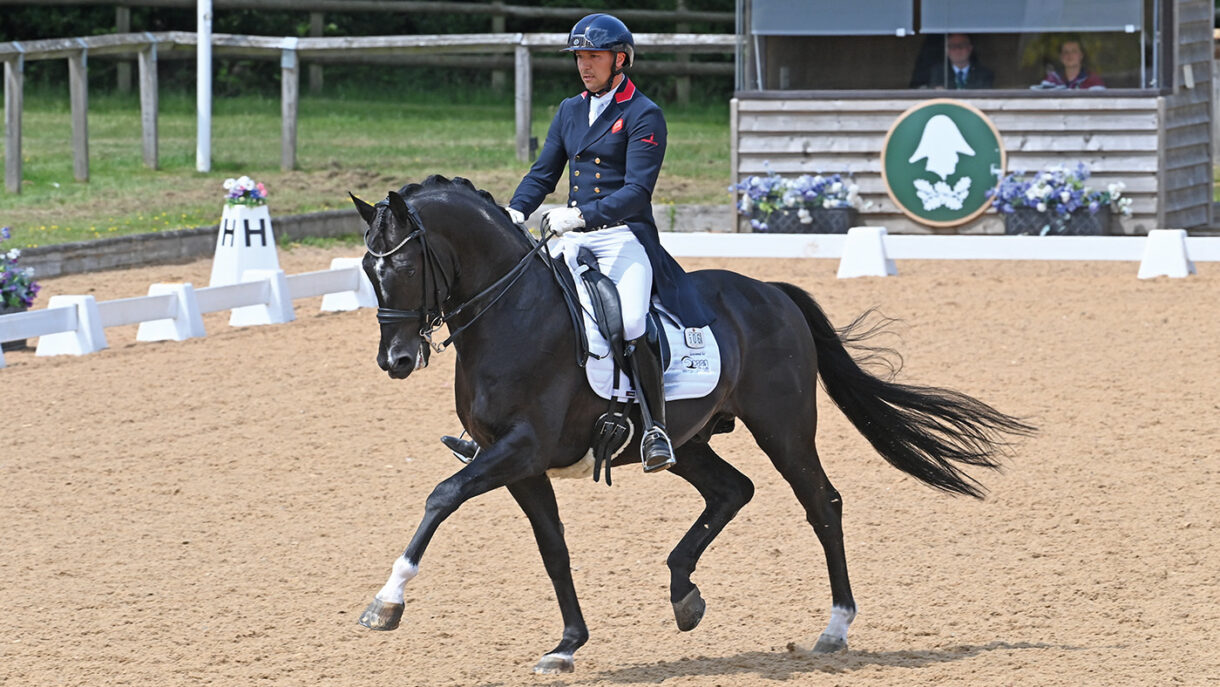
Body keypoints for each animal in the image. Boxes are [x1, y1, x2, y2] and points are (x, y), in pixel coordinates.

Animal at [350, 175, 1035, 674]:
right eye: (366, 270)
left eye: (403, 268)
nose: (397, 361)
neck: (512, 314)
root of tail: (773, 292)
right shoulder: (515, 461)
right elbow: (554, 548)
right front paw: (567, 644)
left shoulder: (521, 449)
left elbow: (442, 496)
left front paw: (386, 603)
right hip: (691, 439)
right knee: (732, 490)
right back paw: (684, 593)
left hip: (783, 427)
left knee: (821, 502)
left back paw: (835, 627)